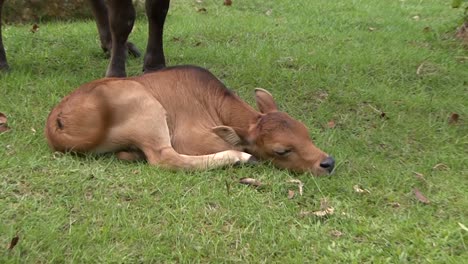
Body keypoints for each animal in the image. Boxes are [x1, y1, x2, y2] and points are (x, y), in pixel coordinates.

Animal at [0, 0, 169, 76]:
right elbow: (123, 18)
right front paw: (116, 73)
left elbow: (157, 9)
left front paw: (155, 65)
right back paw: (2, 64)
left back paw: (111, 45)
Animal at [44, 65, 336, 175]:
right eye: (282, 150)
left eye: (306, 133)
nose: (329, 163)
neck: (217, 105)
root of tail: (57, 119)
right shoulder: (191, 138)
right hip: (148, 108)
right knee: (164, 158)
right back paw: (239, 158)